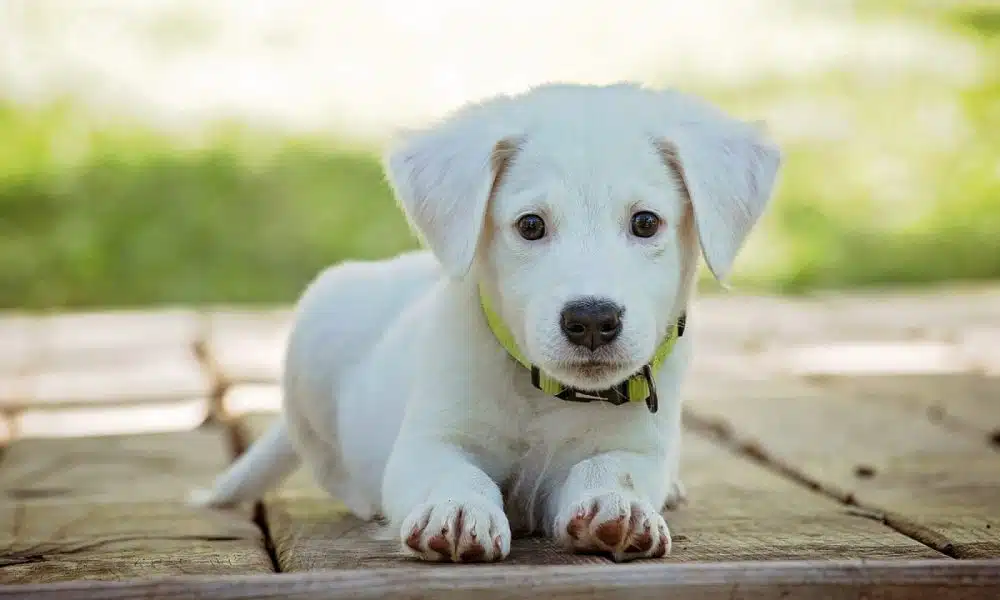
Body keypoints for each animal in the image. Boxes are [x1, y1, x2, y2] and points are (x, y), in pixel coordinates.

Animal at [189, 81, 780, 564]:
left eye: (645, 222)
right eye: (531, 225)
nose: (592, 320)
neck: (545, 394)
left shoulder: (635, 446)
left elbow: (612, 469)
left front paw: (619, 506)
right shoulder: (428, 442)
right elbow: (455, 472)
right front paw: (455, 510)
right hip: (316, 329)